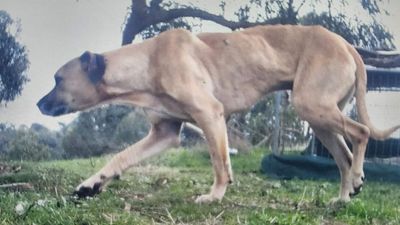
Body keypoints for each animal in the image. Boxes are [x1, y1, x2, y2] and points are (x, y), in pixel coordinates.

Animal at [37, 25, 400, 203]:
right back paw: (344, 197)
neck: (147, 62)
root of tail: (345, 43)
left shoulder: (209, 114)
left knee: (362, 133)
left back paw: (356, 178)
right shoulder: (164, 133)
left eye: (58, 79)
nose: (39, 104)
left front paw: (214, 195)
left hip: (312, 106)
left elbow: (219, 164)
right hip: (318, 116)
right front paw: (91, 184)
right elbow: (120, 157)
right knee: (343, 156)